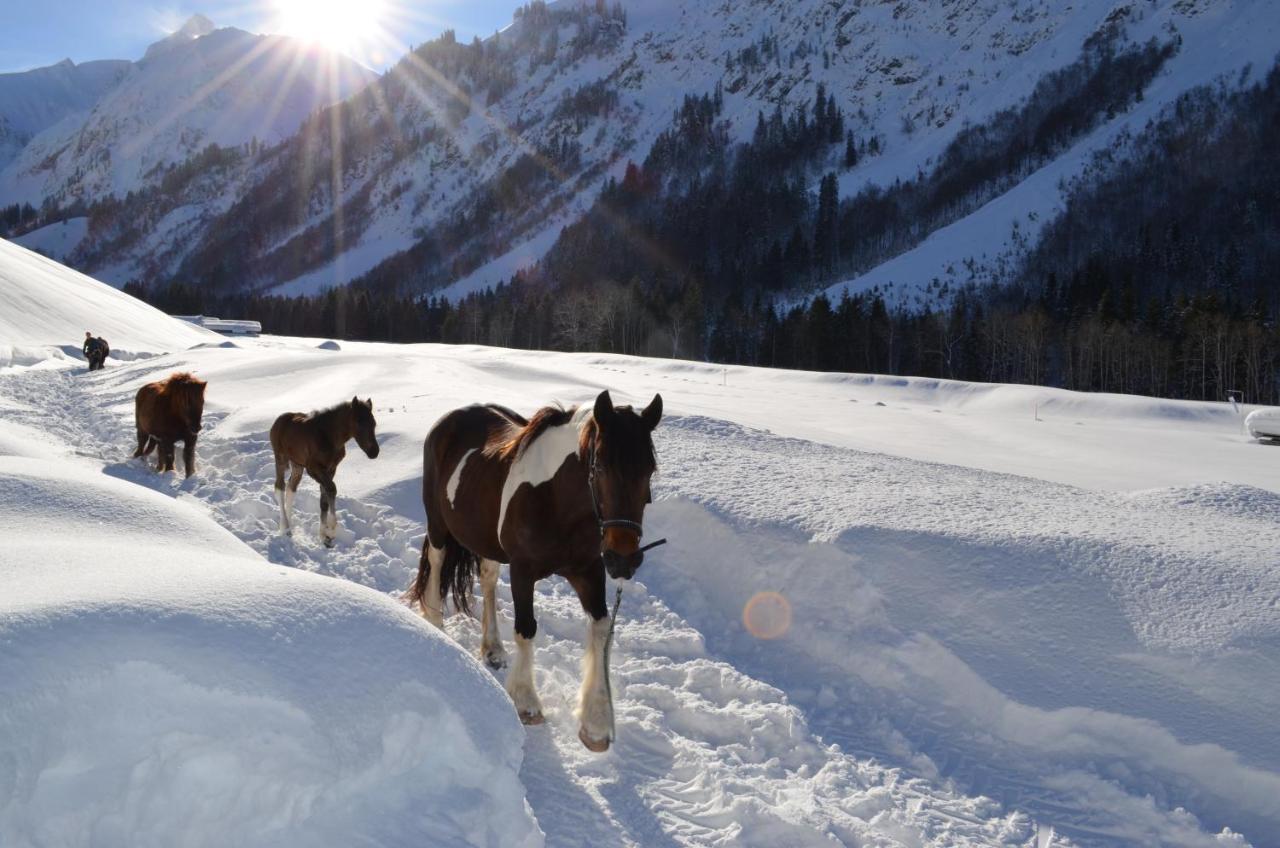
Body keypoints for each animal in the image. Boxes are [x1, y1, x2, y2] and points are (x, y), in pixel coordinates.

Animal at [271, 397, 378, 548]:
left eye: (374, 423)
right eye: (358, 422)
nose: (374, 452)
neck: (330, 437)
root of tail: (278, 421)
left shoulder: (331, 468)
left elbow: (324, 499)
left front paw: (324, 537)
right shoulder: (313, 468)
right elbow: (331, 489)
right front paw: (331, 531)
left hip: (297, 465)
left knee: (291, 489)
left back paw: (289, 527)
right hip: (280, 458)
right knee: (279, 487)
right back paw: (285, 528)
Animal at [407, 389, 660, 753]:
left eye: (650, 470)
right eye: (600, 465)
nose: (623, 559)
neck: (555, 501)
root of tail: (450, 418)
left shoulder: (589, 570)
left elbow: (601, 630)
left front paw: (596, 722)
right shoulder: (524, 571)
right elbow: (526, 629)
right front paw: (526, 702)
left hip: (486, 541)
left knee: (487, 578)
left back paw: (493, 649)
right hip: (439, 525)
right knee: (438, 563)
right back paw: (435, 626)